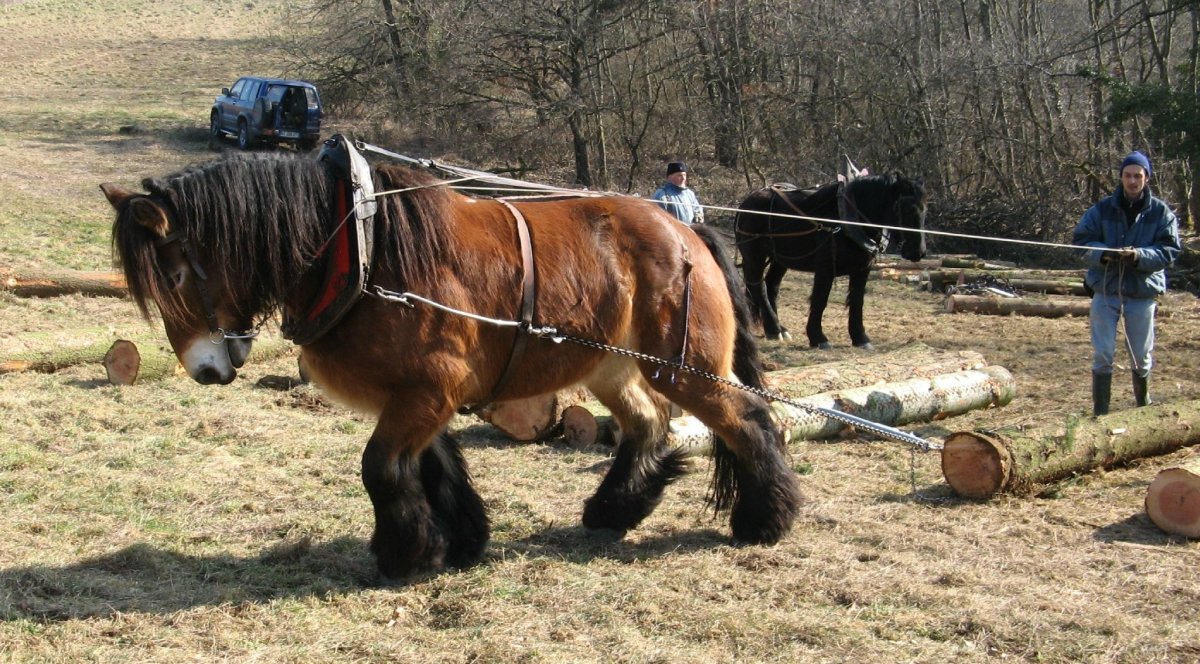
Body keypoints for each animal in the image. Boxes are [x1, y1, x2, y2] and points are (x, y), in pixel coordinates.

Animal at [102, 150, 802, 582]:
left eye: (176, 277)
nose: (203, 368)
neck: (366, 251)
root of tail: (685, 233)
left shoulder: (427, 391)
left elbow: (382, 467)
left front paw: (404, 554)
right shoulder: (415, 395)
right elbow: (434, 465)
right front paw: (460, 540)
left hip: (683, 365)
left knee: (747, 418)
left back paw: (764, 518)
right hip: (611, 363)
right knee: (648, 425)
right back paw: (616, 510)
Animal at [734, 174, 928, 348]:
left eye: (924, 209)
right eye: (904, 208)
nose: (918, 251)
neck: (846, 220)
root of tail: (746, 203)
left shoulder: (862, 269)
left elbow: (857, 301)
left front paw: (860, 337)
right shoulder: (825, 268)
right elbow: (820, 300)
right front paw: (818, 337)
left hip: (781, 259)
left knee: (771, 286)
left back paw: (778, 328)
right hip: (755, 257)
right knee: (758, 288)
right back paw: (774, 329)